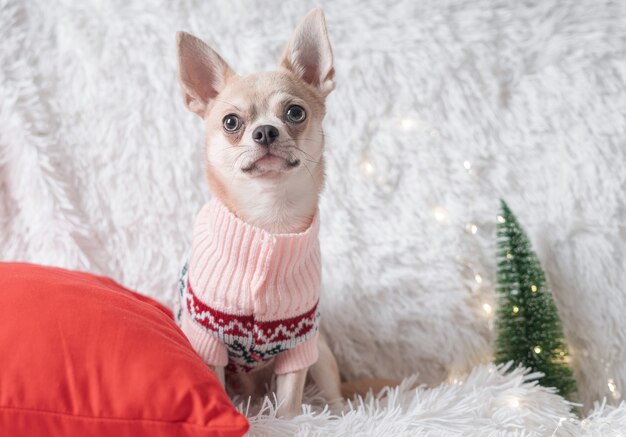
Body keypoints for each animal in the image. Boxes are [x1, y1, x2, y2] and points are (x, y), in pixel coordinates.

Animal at [173, 9, 342, 416]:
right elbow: (215, 382)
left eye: (295, 112)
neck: (268, 222)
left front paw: (288, 421)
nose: (265, 131)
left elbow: (290, 400)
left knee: (333, 392)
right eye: (231, 122)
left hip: (322, 353)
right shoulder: (208, 340)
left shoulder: (298, 343)